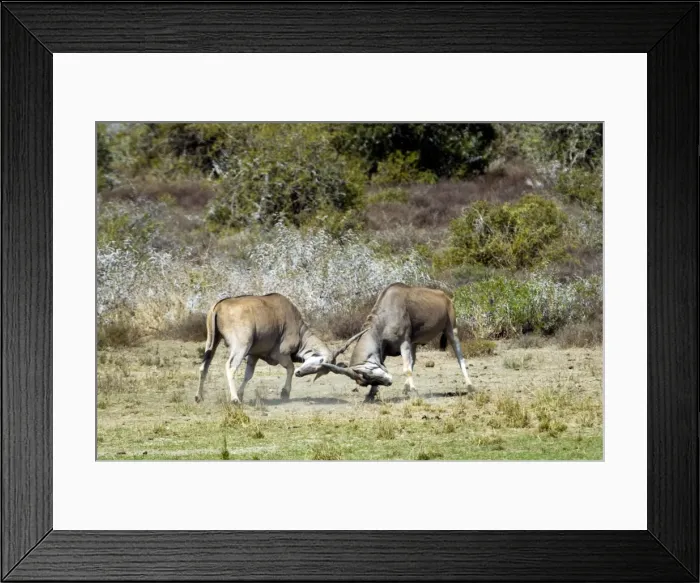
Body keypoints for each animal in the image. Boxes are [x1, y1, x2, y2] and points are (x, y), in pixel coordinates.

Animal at [195, 293, 363, 405]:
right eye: (320, 361)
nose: (300, 373)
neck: (299, 329)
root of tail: (220, 305)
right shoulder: (280, 354)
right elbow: (290, 367)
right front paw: (285, 393)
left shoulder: (254, 355)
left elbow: (248, 375)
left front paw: (242, 394)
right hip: (240, 346)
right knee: (230, 367)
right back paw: (234, 399)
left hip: (211, 343)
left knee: (204, 366)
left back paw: (199, 397)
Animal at [297, 283, 473, 401]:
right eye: (366, 380)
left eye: (367, 373)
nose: (388, 382)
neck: (385, 315)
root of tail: (446, 297)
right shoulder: (387, 349)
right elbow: (406, 366)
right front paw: (370, 396)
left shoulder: (404, 343)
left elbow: (406, 369)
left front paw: (414, 392)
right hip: (415, 344)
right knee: (413, 361)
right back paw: (405, 389)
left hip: (451, 330)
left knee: (459, 356)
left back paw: (470, 386)